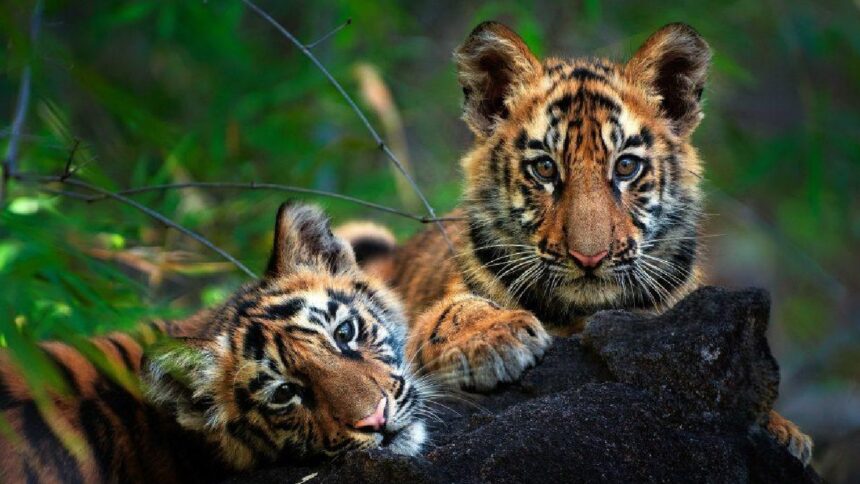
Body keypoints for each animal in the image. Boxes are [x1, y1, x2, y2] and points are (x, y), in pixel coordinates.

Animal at [339, 22, 813, 465]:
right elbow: (454, 311)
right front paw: (493, 339)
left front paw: (784, 431)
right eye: (545, 169)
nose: (590, 256)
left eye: (625, 167)